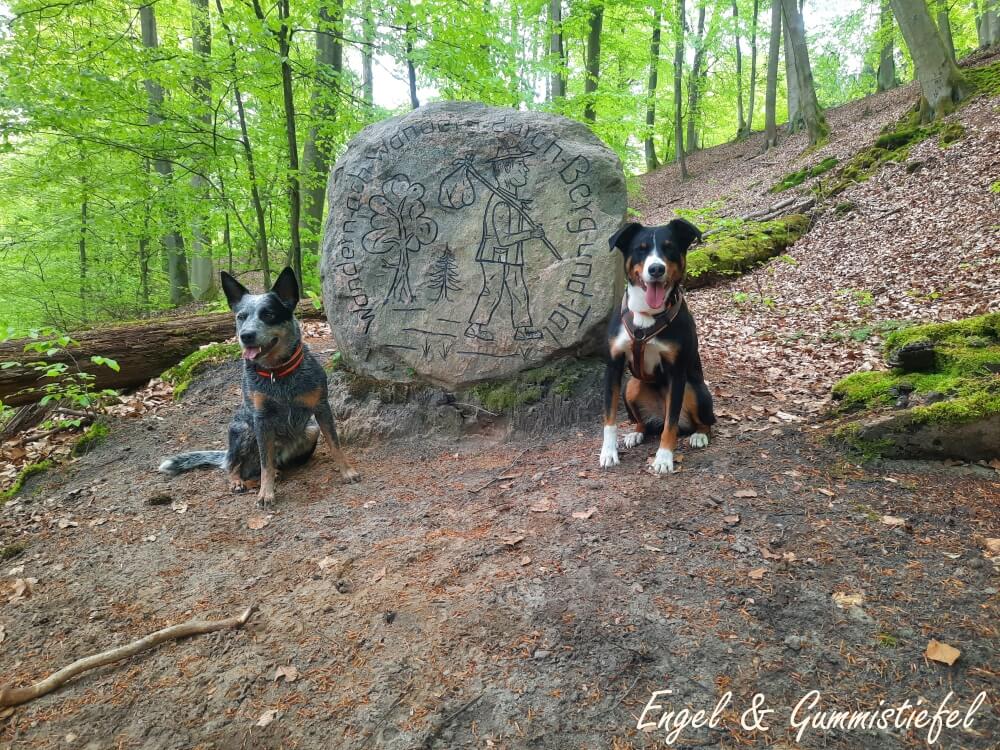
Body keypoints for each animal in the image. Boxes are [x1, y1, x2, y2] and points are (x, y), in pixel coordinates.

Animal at [156, 264, 360, 506]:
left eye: (269, 314)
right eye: (241, 316)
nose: (246, 335)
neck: (278, 375)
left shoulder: (321, 407)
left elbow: (335, 444)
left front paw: (347, 471)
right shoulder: (261, 419)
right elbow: (265, 463)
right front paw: (266, 493)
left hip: (311, 430)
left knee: (266, 465)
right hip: (244, 431)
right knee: (236, 466)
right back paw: (238, 481)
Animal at [596, 219, 716, 476]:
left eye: (669, 248)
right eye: (640, 249)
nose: (656, 269)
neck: (645, 316)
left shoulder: (676, 372)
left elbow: (671, 424)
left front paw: (663, 458)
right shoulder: (613, 366)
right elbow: (609, 419)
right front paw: (608, 452)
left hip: (694, 389)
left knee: (704, 422)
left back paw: (699, 435)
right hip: (631, 386)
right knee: (644, 423)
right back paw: (636, 433)